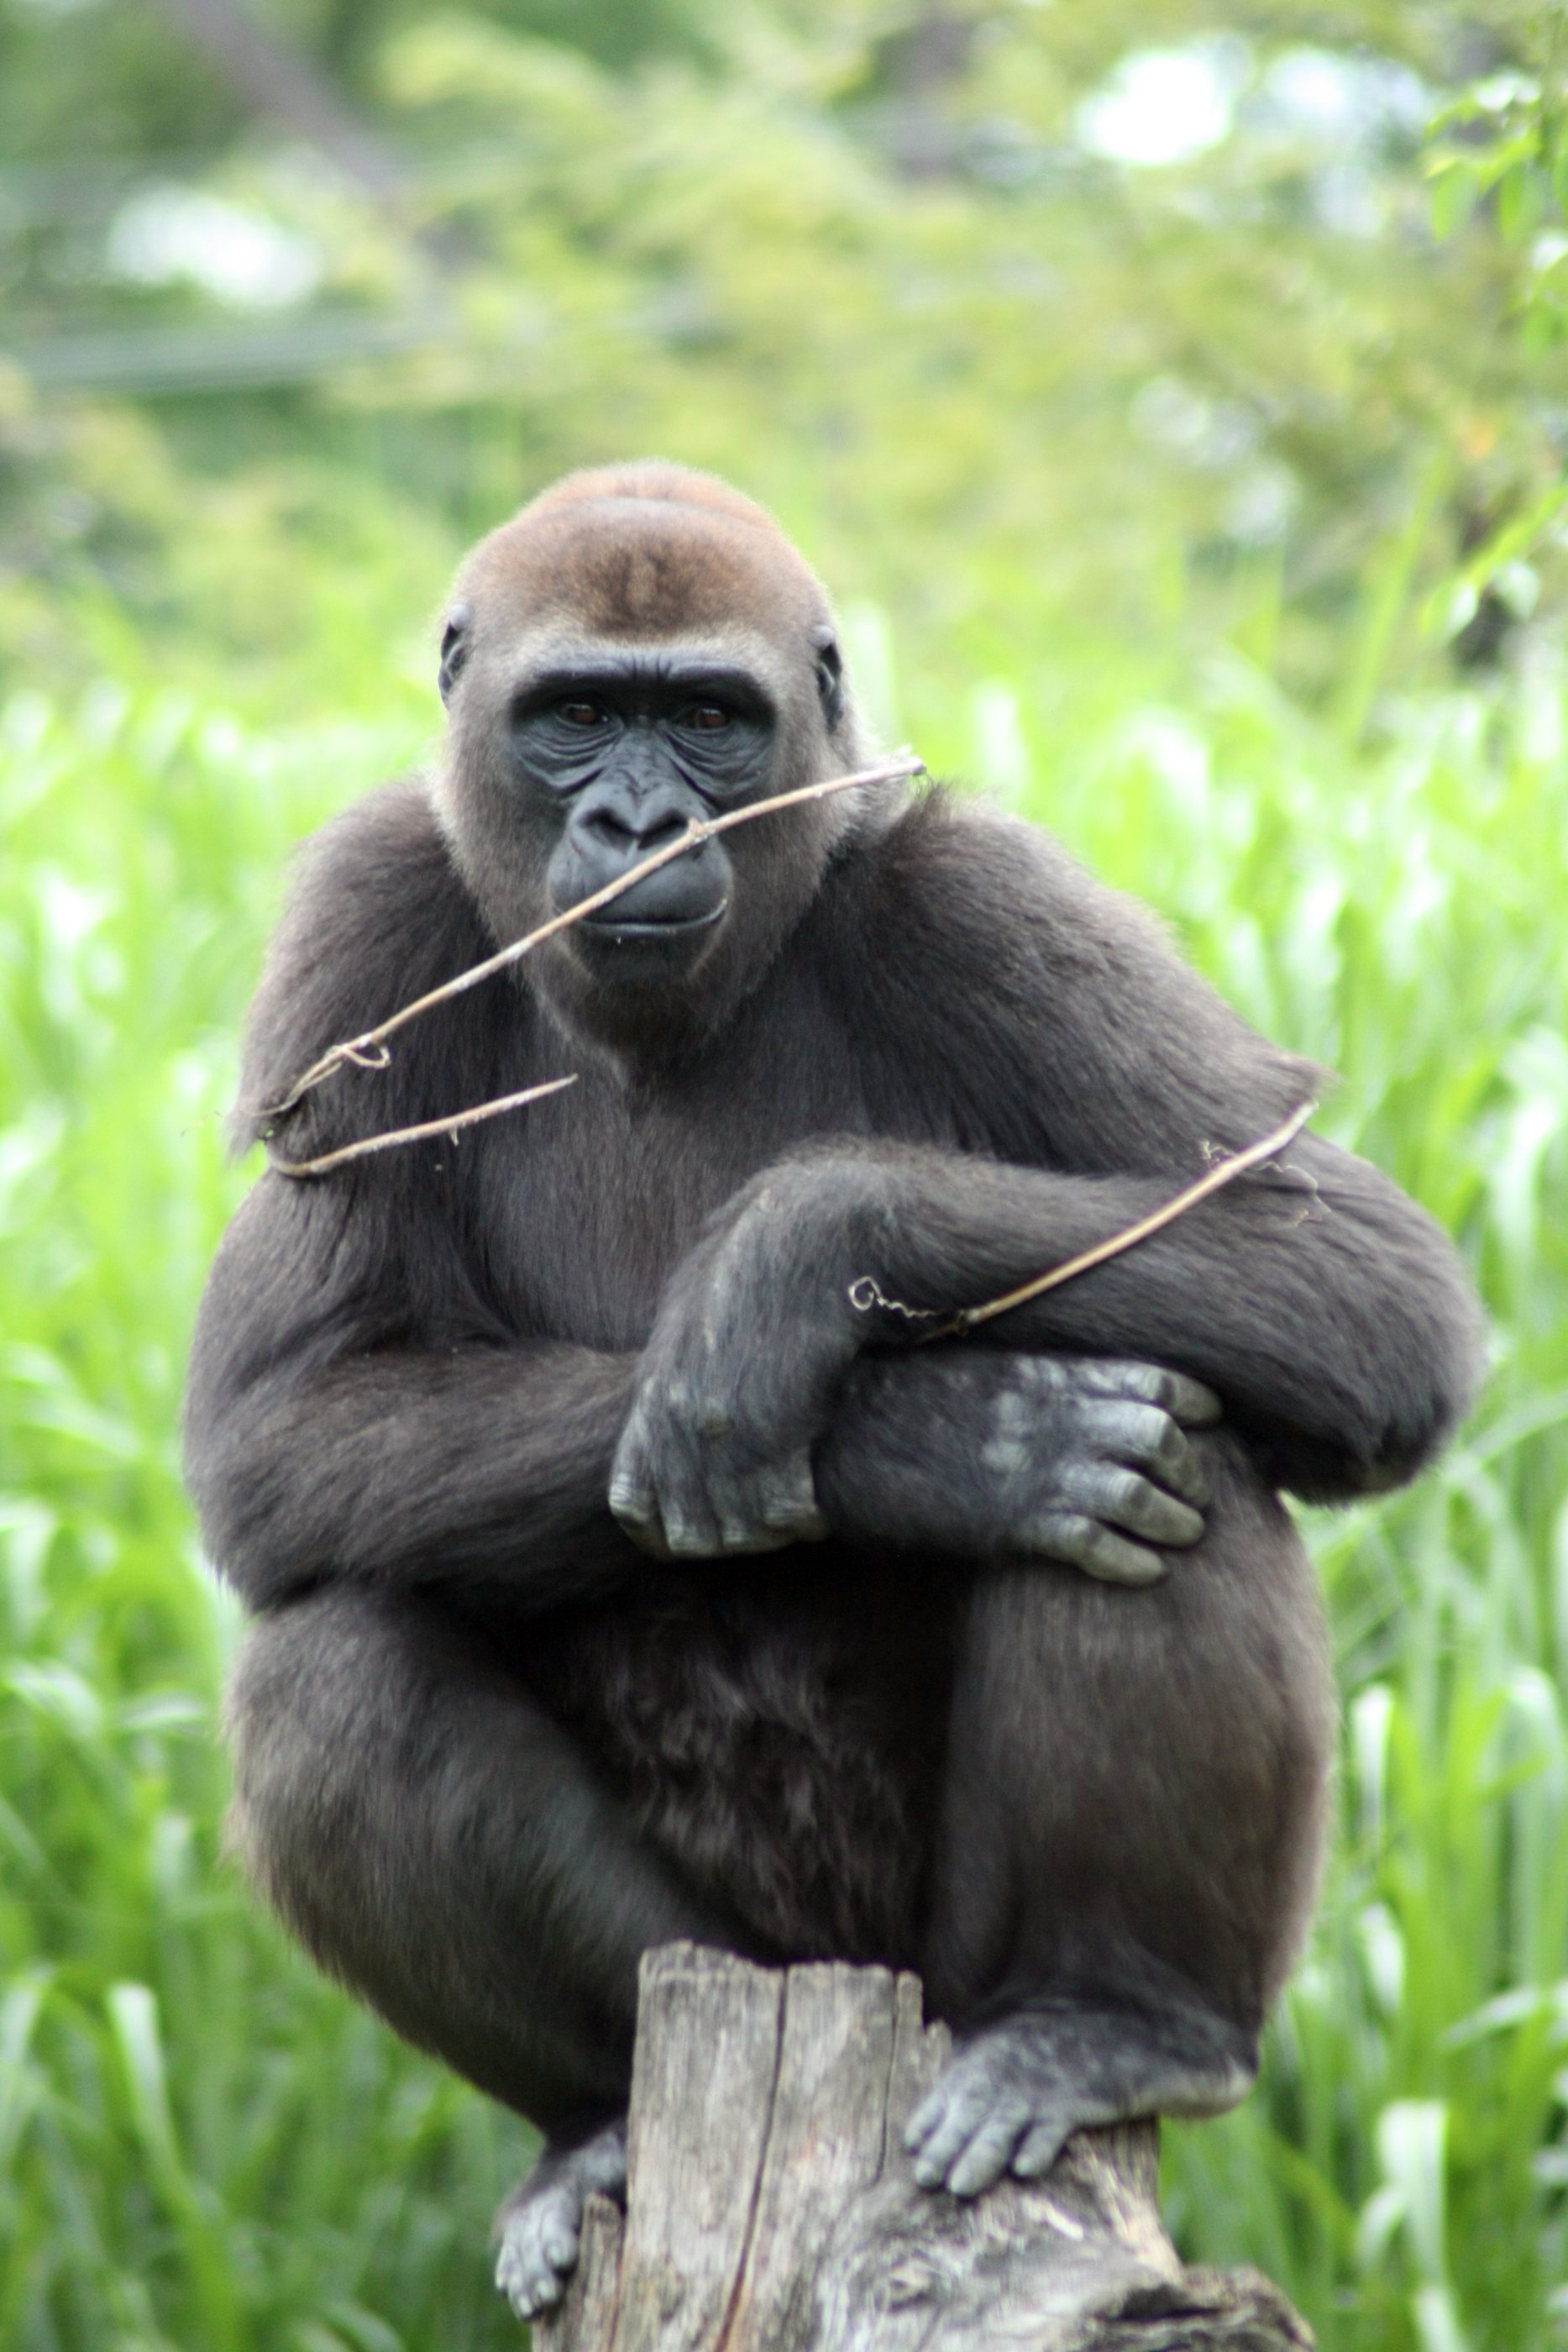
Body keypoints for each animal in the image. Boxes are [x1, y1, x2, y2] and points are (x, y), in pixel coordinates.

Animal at [184, 454, 1486, 2314]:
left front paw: (810, 1249)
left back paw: (1116, 2016)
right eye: (575, 716)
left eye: (709, 720)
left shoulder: (981, 891)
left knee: (1179, 1454)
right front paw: (927, 1441)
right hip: (716, 1964)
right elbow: (287, 1422)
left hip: (940, 1977)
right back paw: (587, 2114)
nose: (641, 825)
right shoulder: (360, 919)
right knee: (329, 1660)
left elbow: (1345, 1258)